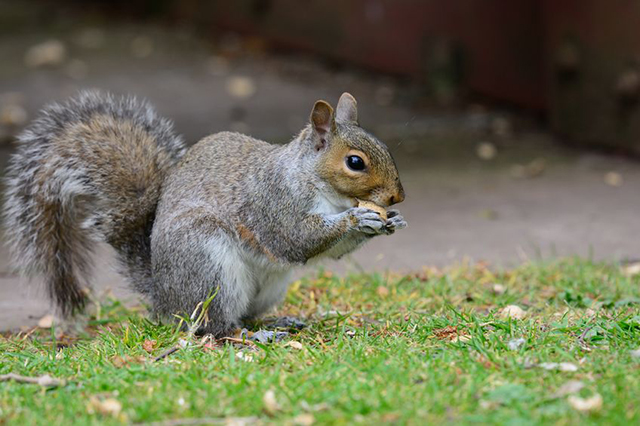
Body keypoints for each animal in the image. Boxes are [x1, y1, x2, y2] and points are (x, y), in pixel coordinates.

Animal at [3, 90, 404, 336]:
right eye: (355, 162)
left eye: (385, 148)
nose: (398, 196)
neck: (324, 189)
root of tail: (163, 297)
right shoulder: (273, 201)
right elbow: (296, 239)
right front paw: (357, 219)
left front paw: (389, 223)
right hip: (207, 265)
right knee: (213, 325)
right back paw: (249, 336)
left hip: (268, 286)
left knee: (245, 314)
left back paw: (277, 321)